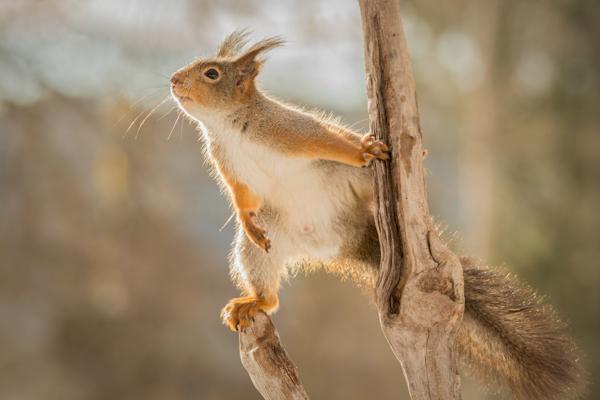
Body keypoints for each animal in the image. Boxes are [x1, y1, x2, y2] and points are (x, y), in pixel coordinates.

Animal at [169, 30, 584, 400]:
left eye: (212, 73)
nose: (173, 80)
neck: (229, 126)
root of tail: (346, 242)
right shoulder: (227, 165)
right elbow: (240, 198)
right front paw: (245, 219)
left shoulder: (289, 129)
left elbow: (328, 139)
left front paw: (361, 149)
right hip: (266, 245)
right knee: (267, 290)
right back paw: (253, 301)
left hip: (353, 183)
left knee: (364, 171)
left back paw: (410, 162)